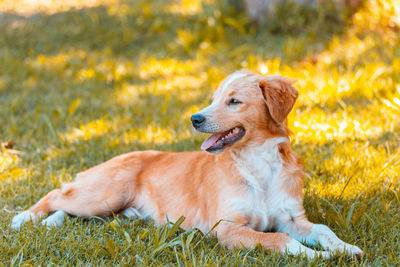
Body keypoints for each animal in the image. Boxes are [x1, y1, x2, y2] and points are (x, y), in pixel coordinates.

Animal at [11, 70, 362, 258]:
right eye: (213, 98)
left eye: (234, 101)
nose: (195, 119)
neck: (257, 163)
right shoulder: (228, 228)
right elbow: (280, 240)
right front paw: (315, 256)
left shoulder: (291, 218)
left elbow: (323, 229)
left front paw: (344, 248)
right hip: (104, 194)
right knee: (56, 194)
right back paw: (24, 218)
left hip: (110, 211)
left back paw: (50, 222)